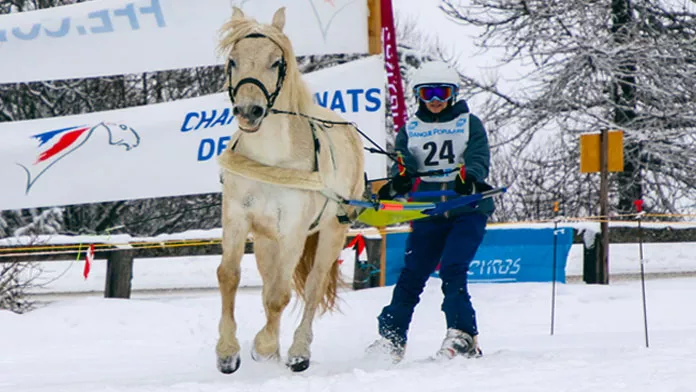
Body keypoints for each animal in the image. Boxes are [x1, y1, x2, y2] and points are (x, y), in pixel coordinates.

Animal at [213, 6, 364, 374]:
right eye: (233, 60)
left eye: (276, 62)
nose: (249, 111)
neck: (271, 158)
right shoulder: (237, 218)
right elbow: (229, 276)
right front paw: (228, 352)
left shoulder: (293, 230)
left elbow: (281, 295)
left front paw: (265, 346)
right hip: (266, 239)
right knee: (270, 282)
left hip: (331, 232)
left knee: (311, 288)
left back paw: (297, 351)